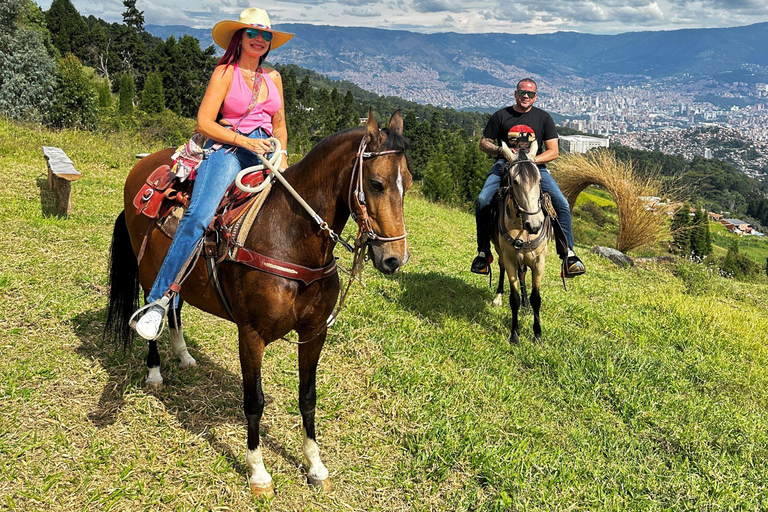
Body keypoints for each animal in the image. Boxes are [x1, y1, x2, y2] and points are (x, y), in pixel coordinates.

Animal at [106, 111, 414, 496]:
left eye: (409, 184)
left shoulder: (314, 334)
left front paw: (315, 467)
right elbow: (254, 402)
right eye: (375, 183)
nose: (394, 259)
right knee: (154, 305)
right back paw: (154, 371)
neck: (292, 237)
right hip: (147, 269)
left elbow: (308, 397)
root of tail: (142, 167)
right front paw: (258, 472)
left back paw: (183, 354)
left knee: (174, 305)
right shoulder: (251, 335)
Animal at [488, 141, 548, 344]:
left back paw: (526, 303)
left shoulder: (539, 261)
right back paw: (498, 297)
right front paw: (514, 334)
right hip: (500, 251)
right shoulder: (510, 259)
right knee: (501, 266)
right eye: (514, 181)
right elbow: (513, 298)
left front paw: (537, 334)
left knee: (523, 274)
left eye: (539, 180)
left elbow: (536, 298)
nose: (534, 225)